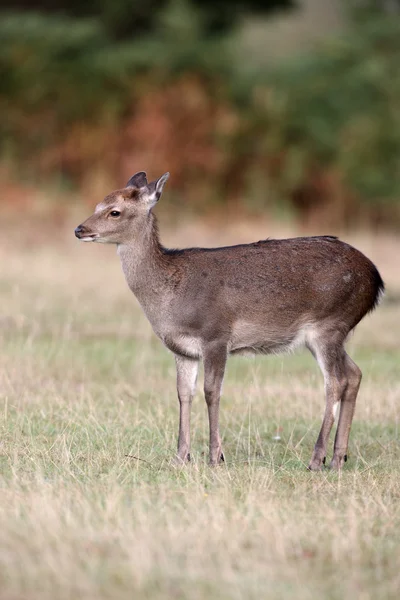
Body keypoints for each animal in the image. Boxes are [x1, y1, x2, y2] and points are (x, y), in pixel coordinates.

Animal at [75, 171, 384, 472]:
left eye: (114, 212)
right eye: (97, 205)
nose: (80, 229)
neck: (171, 298)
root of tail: (376, 280)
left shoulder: (216, 335)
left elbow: (212, 392)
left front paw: (215, 457)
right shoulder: (182, 349)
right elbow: (183, 394)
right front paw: (180, 457)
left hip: (329, 323)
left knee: (336, 382)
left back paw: (317, 459)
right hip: (335, 332)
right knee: (355, 373)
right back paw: (338, 459)